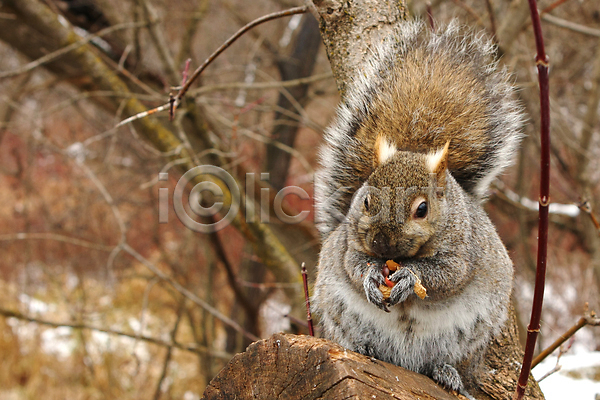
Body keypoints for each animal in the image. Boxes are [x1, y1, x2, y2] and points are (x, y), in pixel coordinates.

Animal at [312, 21, 524, 394]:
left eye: (422, 209)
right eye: (366, 200)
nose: (381, 244)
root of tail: (405, 360)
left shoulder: (463, 252)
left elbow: (446, 275)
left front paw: (410, 279)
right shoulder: (349, 244)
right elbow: (353, 264)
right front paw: (371, 275)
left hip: (470, 337)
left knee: (444, 361)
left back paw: (446, 372)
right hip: (337, 311)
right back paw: (364, 347)